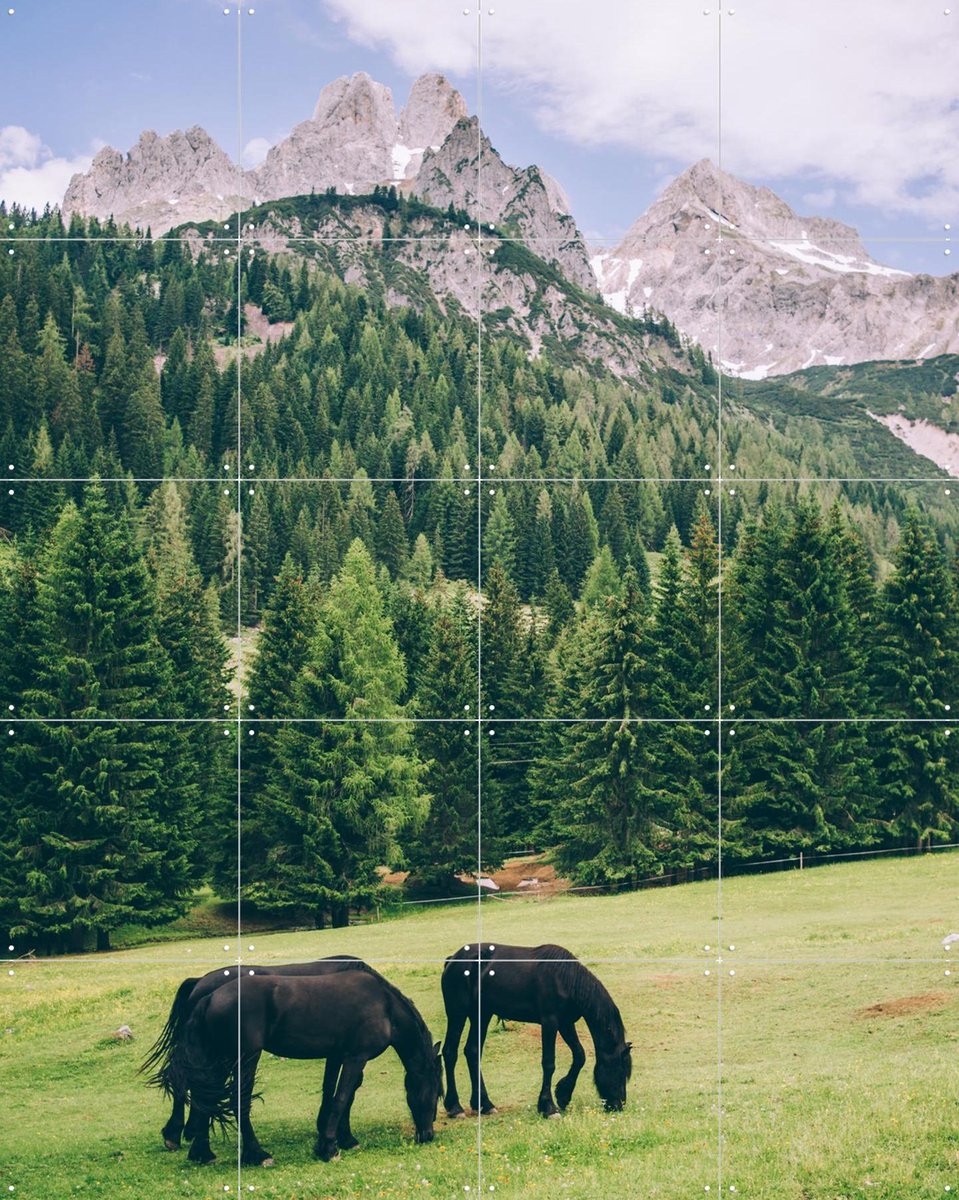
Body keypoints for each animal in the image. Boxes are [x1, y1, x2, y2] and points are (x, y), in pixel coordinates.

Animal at [175, 970, 444, 1165]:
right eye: (435, 1093)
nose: (428, 1135)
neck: (384, 1006)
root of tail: (208, 998)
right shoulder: (356, 1057)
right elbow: (342, 1097)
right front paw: (329, 1148)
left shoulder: (337, 1056)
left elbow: (334, 1095)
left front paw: (337, 1138)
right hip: (245, 1059)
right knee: (237, 1101)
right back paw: (257, 1155)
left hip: (219, 1060)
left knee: (205, 1101)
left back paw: (202, 1153)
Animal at [440, 942, 632, 1118]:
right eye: (620, 1070)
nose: (618, 1105)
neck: (565, 980)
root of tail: (453, 960)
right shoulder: (550, 1023)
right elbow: (548, 1063)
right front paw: (548, 1107)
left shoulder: (565, 1023)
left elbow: (579, 1056)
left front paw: (563, 1095)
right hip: (457, 1013)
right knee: (450, 1052)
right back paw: (455, 1107)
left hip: (481, 1015)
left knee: (472, 1052)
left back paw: (484, 1104)